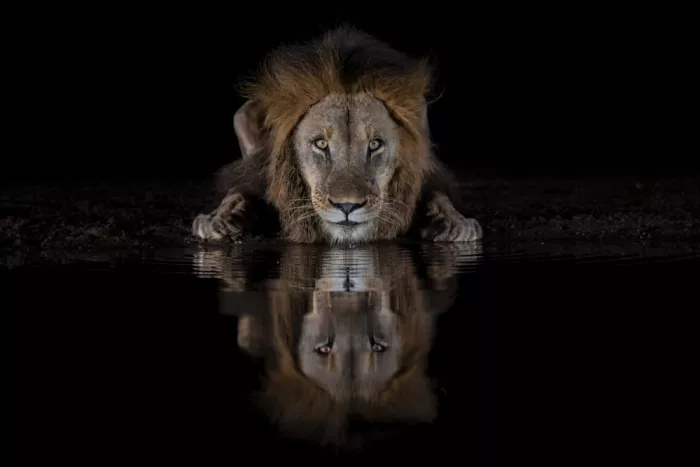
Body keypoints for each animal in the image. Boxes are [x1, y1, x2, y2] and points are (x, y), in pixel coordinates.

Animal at [192, 26, 483, 245]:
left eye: (375, 144)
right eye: (321, 143)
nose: (347, 206)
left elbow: (438, 195)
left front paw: (455, 223)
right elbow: (239, 190)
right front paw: (219, 220)